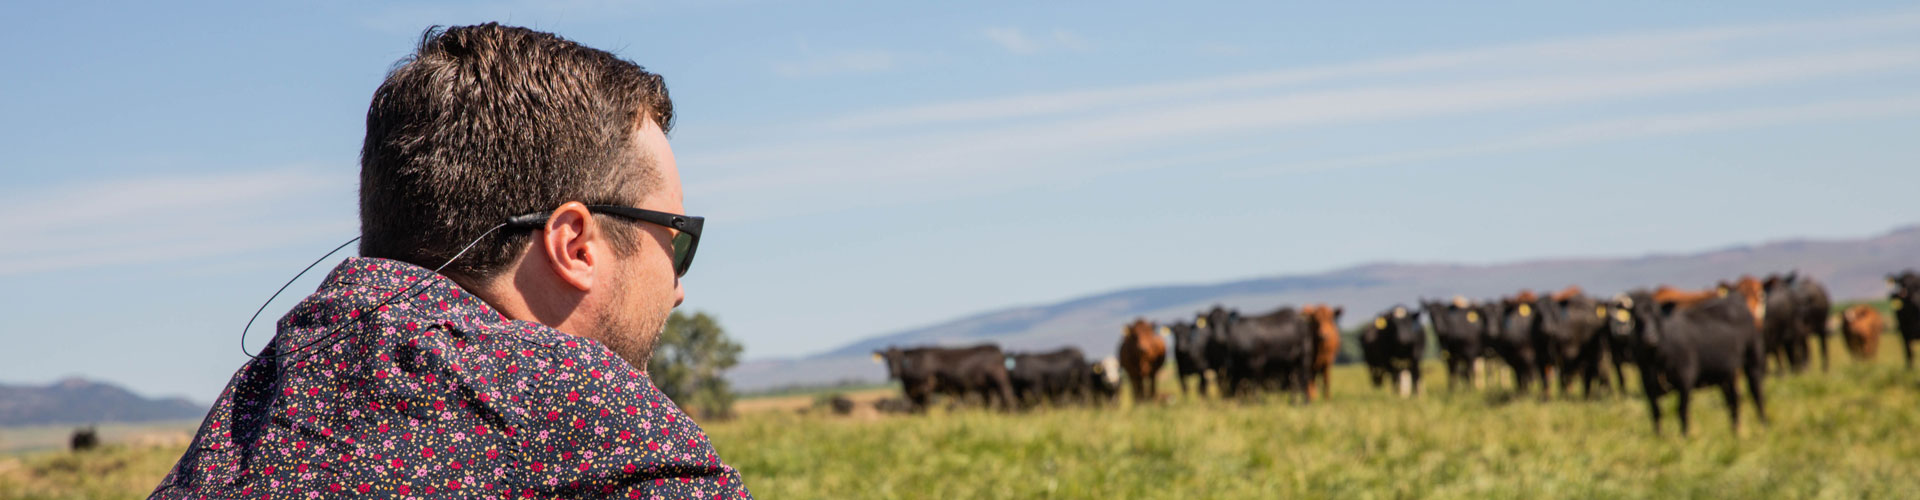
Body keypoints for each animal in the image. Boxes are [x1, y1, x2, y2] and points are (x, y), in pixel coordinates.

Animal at [875, 344, 1021, 409]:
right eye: (886, 359)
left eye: (900, 359)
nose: (893, 373)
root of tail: (998, 351)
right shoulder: (912, 392)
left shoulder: (925, 388)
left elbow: (924, 408)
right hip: (986, 387)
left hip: (1000, 382)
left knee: (1007, 397)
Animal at [1612, 294, 1758, 434]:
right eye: (1637, 318)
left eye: (1658, 317)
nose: (1650, 338)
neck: (1657, 359)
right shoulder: (1647, 384)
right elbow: (1656, 411)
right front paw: (1659, 436)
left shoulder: (1685, 380)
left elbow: (1682, 410)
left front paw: (1685, 435)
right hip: (1724, 376)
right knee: (1731, 402)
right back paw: (1735, 431)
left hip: (1750, 361)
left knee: (1752, 394)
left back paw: (1757, 426)